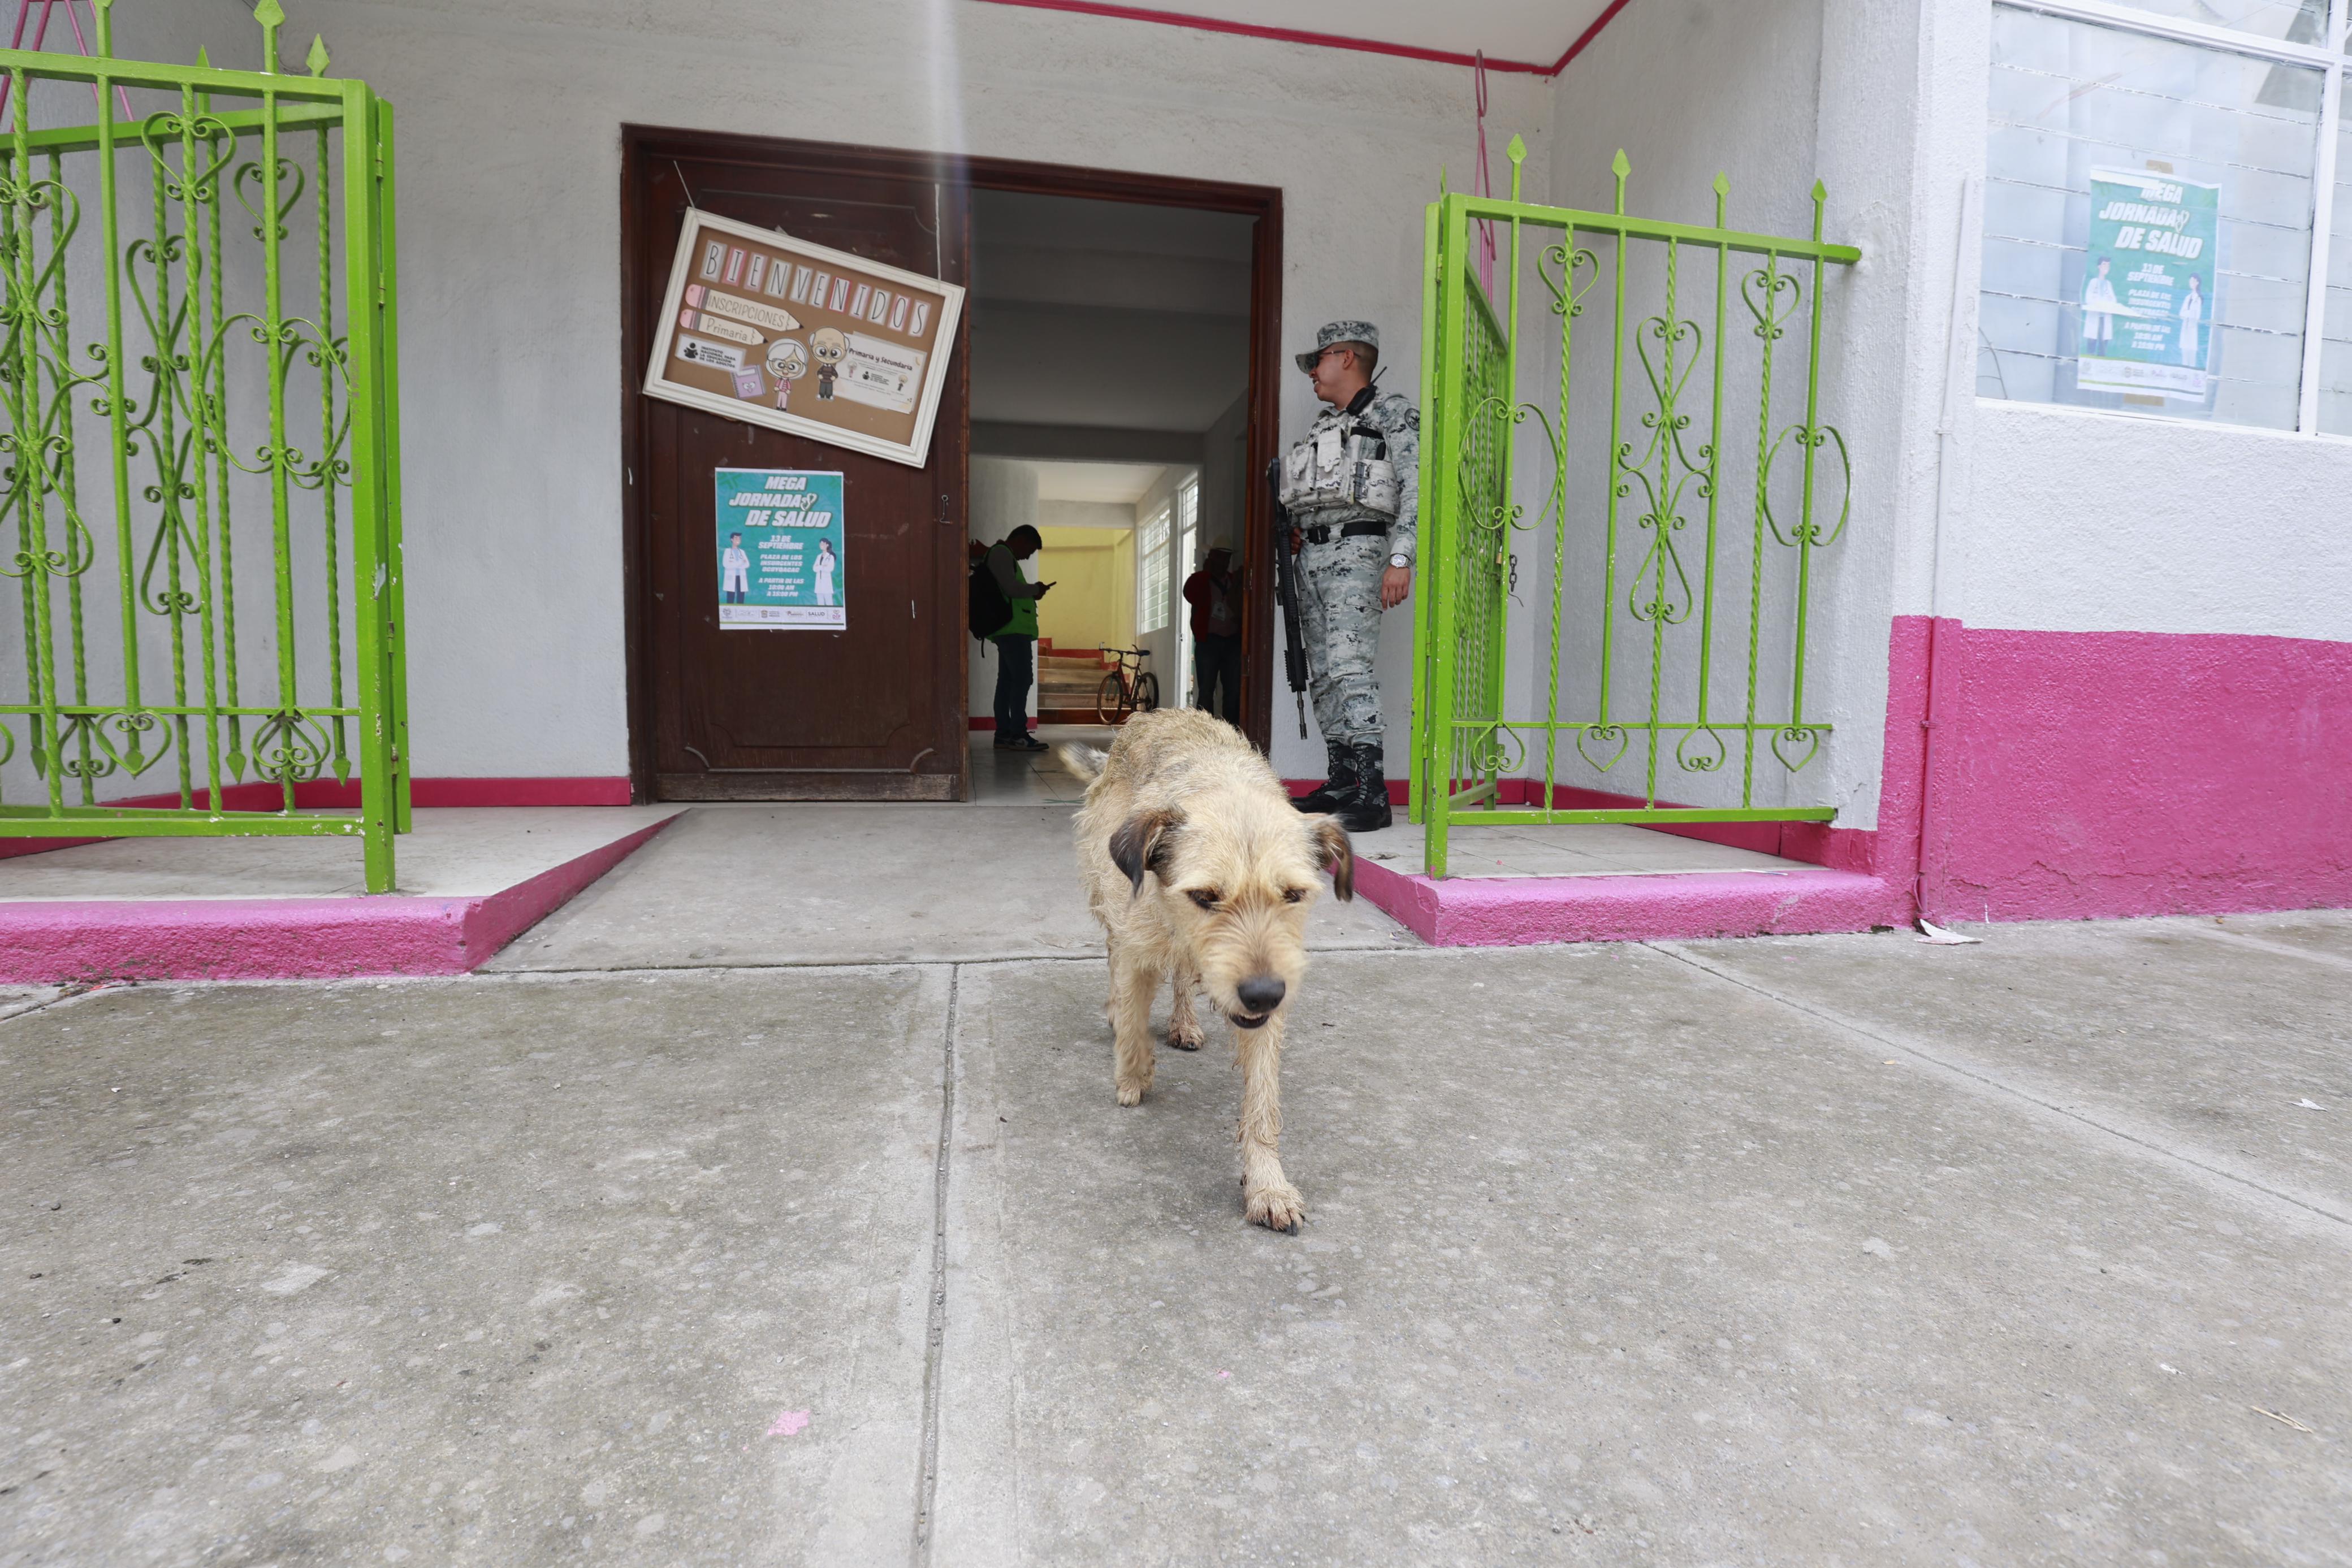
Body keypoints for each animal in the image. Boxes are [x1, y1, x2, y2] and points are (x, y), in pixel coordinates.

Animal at [1058, 709, 1355, 1241]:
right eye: (1204, 897)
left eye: (1294, 895)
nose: (1262, 995)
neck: (1223, 787)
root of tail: (1155, 714)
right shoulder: (1136, 939)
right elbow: (1132, 1014)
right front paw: (1133, 1073)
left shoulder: (1273, 987)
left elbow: (1262, 1100)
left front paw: (1268, 1185)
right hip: (1102, 884)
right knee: (1115, 954)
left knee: (1180, 975)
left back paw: (1184, 1021)